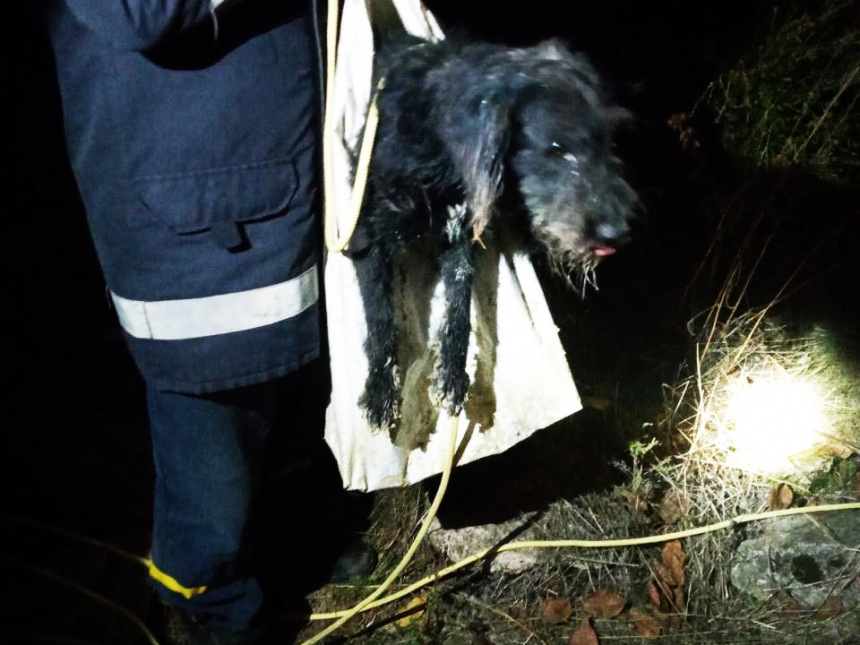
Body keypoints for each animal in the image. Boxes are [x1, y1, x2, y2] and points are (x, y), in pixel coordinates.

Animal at [348, 35, 640, 428]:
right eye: (557, 148)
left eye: (608, 143)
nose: (616, 234)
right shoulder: (365, 233)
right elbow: (381, 314)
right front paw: (380, 389)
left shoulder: (462, 235)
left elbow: (459, 305)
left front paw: (452, 376)